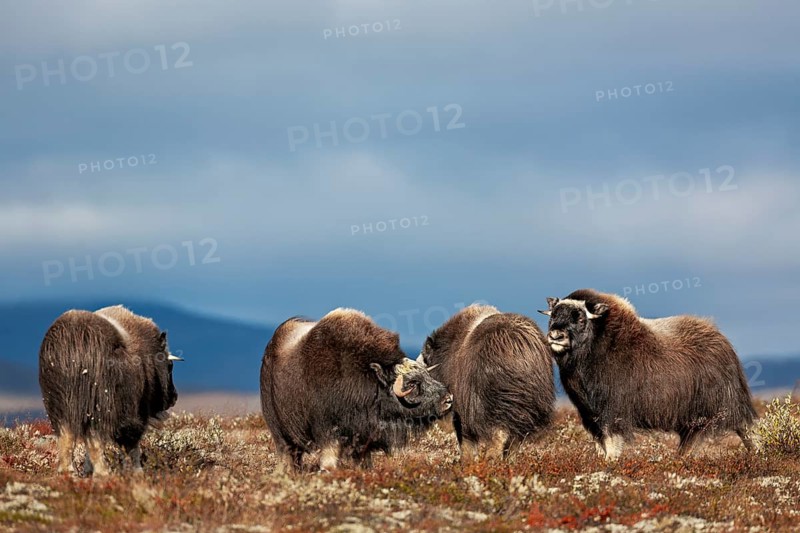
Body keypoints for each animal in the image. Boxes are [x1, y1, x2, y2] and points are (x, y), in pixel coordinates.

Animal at [39, 305, 181, 476]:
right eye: (170, 366)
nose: (174, 397)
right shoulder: (133, 412)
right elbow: (131, 445)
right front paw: (136, 472)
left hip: (59, 407)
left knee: (66, 438)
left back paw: (69, 472)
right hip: (98, 405)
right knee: (95, 439)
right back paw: (103, 473)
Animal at [260, 308, 453, 472]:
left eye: (426, 375)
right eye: (412, 383)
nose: (448, 399)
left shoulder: (362, 437)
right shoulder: (327, 428)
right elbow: (329, 459)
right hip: (280, 430)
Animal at [418, 304, 555, 461]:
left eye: (425, 360)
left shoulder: (463, 408)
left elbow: (464, 438)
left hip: (493, 404)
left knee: (498, 435)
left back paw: (491, 460)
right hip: (527, 408)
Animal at [539, 289, 757, 460]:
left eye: (580, 318)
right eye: (553, 315)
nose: (556, 335)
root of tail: (722, 341)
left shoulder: (612, 412)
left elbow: (611, 441)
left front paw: (610, 463)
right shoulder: (590, 415)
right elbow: (599, 442)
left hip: (716, 411)